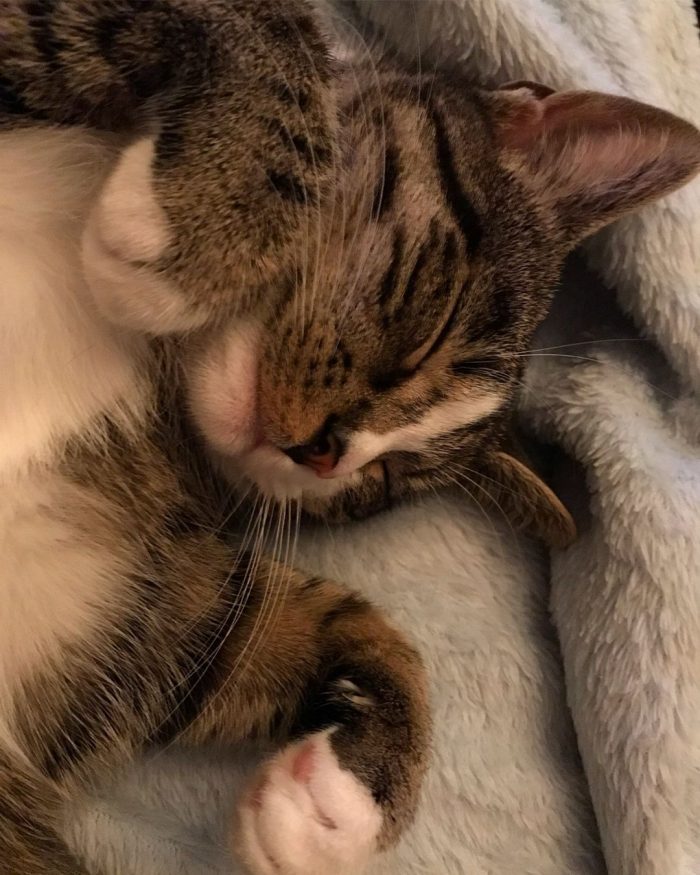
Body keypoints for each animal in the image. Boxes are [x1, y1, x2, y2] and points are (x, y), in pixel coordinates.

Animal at [1, 1, 699, 875]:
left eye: (385, 479)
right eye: (433, 327)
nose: (326, 452)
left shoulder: (118, 603)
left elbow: (277, 626)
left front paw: (340, 802)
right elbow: (276, 29)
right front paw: (199, 225)